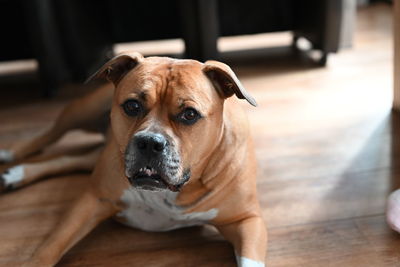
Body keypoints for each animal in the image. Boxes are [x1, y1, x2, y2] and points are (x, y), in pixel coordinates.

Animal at [0, 52, 268, 267]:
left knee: (70, 159)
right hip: (82, 110)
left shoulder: (247, 220)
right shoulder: (93, 199)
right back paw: (11, 157)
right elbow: (50, 246)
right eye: (132, 106)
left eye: (190, 114)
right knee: (49, 136)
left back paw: (14, 175)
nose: (150, 142)